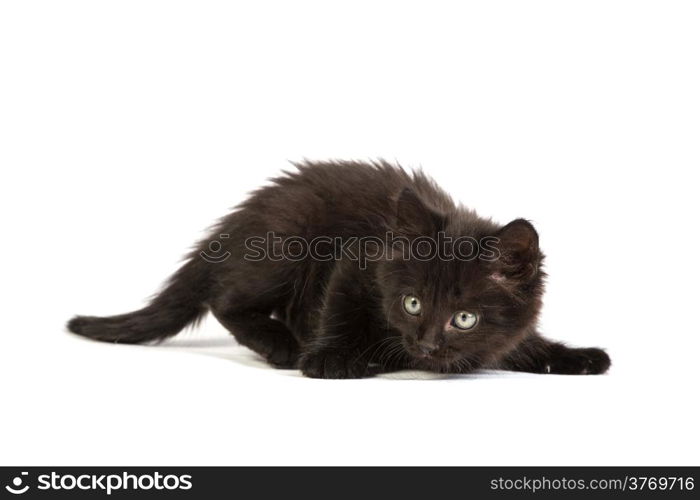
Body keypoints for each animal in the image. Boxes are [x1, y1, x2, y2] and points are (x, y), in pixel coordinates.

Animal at [68, 161, 608, 378]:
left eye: (464, 318)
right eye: (413, 304)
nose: (425, 345)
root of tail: (244, 215)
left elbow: (522, 342)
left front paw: (576, 356)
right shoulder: (359, 262)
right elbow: (340, 310)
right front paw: (331, 359)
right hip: (284, 243)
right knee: (226, 300)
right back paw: (285, 345)